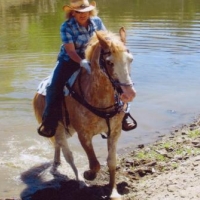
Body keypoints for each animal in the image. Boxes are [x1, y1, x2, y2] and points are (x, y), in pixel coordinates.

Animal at [33, 27, 136, 199]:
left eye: (130, 59)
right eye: (109, 62)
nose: (129, 94)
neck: (99, 97)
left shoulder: (115, 132)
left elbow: (111, 161)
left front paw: (113, 191)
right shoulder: (84, 135)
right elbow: (94, 163)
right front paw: (88, 174)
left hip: (66, 131)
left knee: (58, 148)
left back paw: (56, 165)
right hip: (58, 128)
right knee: (68, 155)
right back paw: (80, 181)